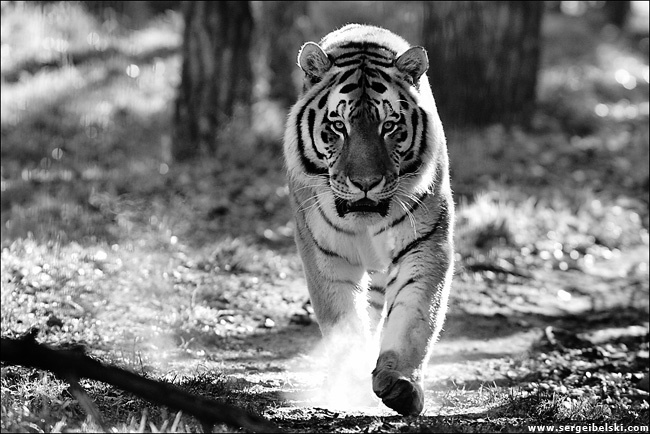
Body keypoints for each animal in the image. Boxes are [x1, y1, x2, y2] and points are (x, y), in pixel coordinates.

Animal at [283, 24, 454, 416]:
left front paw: (400, 383)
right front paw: (348, 383)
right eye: (338, 125)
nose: (365, 183)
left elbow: (413, 316)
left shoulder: (425, 245)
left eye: (389, 126)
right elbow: (344, 322)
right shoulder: (325, 256)